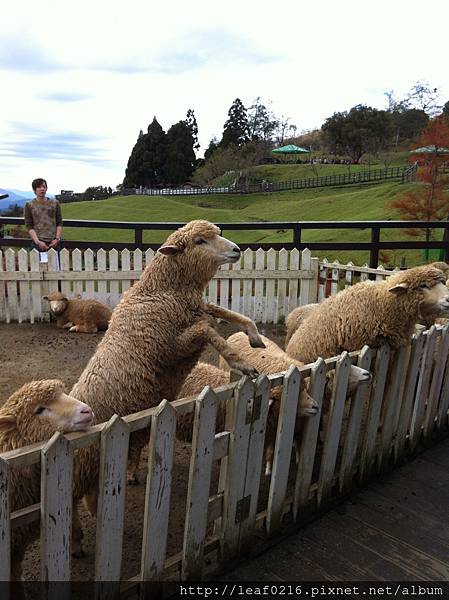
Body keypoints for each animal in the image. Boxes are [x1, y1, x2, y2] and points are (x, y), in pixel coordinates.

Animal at [68, 220, 264, 552]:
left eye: (217, 233)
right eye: (200, 241)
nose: (237, 250)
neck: (162, 291)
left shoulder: (197, 310)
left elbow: (227, 314)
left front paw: (255, 337)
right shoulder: (171, 346)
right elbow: (208, 330)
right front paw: (240, 362)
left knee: (91, 492)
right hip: (80, 465)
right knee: (68, 503)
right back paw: (79, 539)